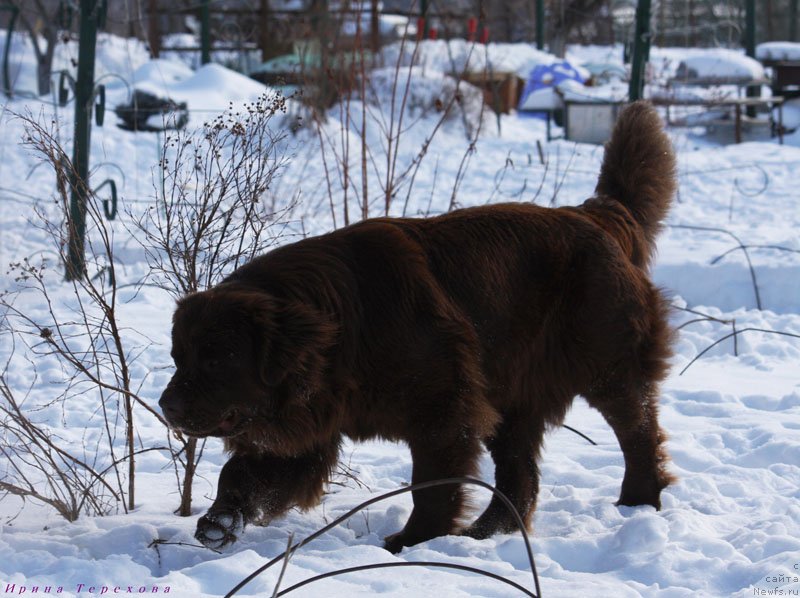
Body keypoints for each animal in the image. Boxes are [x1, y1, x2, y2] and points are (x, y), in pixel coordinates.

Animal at [161, 101, 676, 556]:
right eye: (178, 357)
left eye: (217, 358)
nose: (166, 406)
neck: (340, 330)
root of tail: (596, 214)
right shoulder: (309, 419)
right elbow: (243, 472)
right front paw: (220, 520)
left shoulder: (443, 410)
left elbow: (430, 486)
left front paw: (412, 543)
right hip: (512, 397)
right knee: (520, 478)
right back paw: (484, 533)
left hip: (607, 366)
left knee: (638, 431)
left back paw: (637, 503)